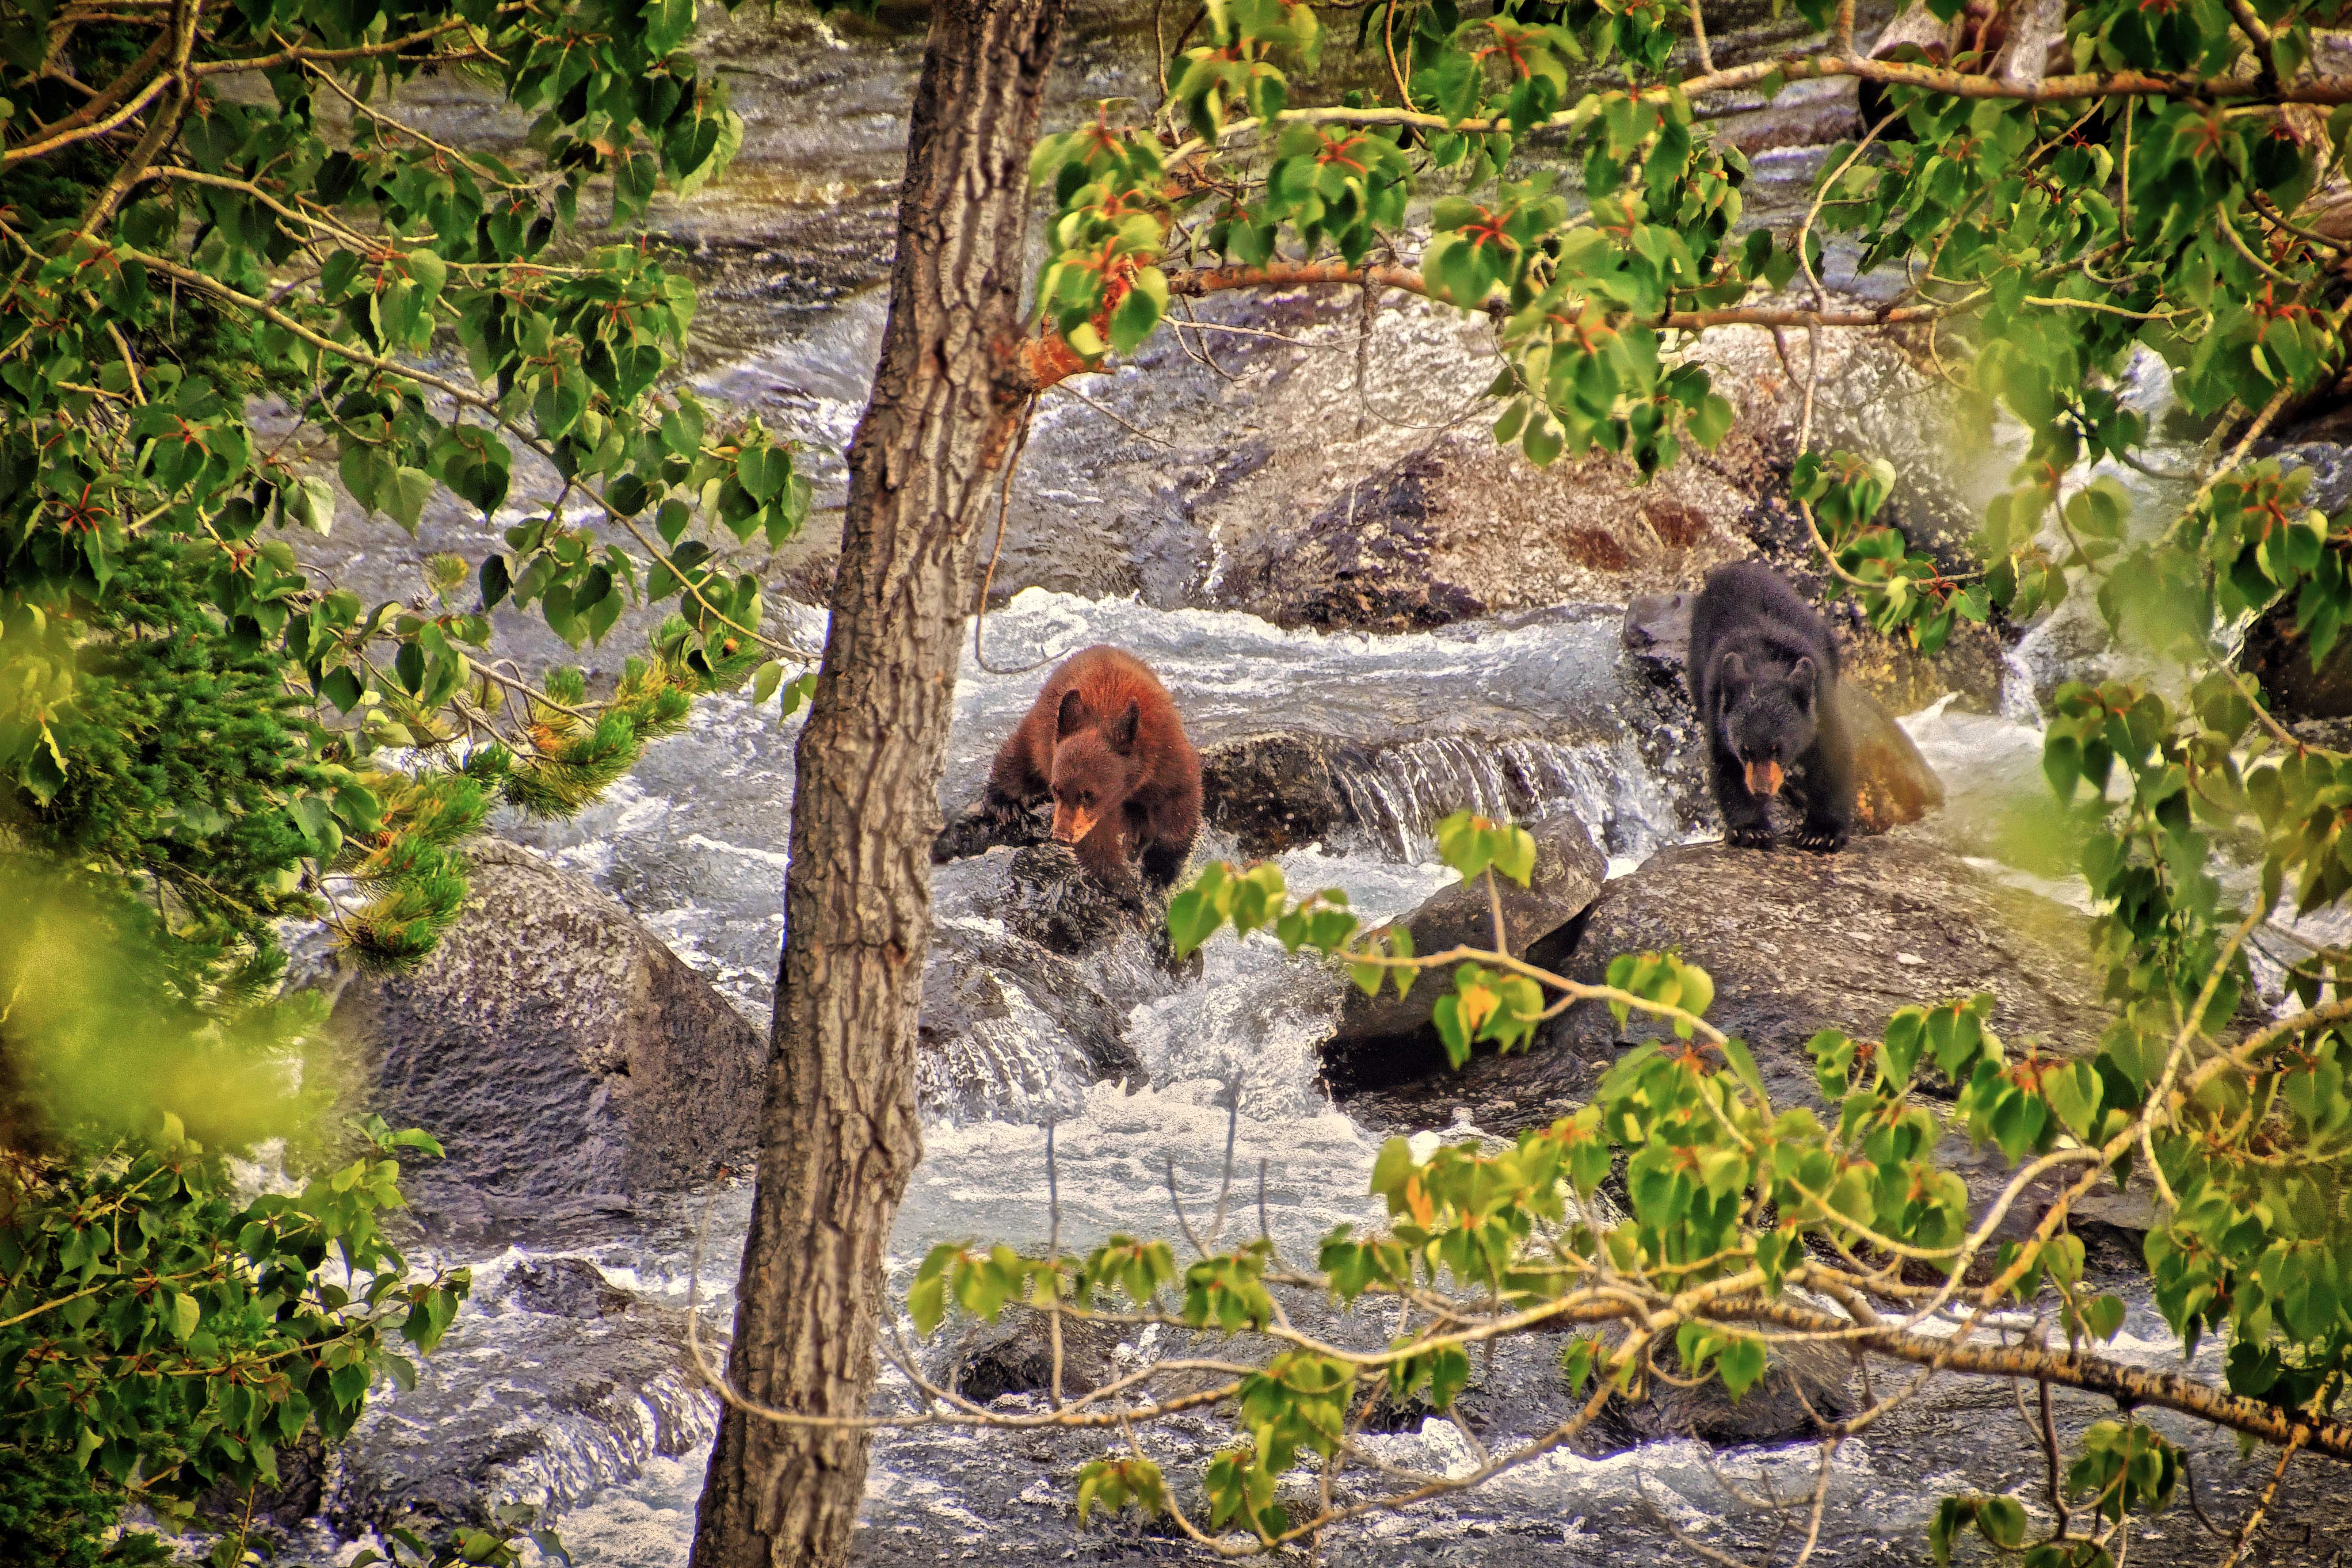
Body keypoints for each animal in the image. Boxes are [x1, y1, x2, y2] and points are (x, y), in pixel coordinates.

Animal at [973, 649, 1204, 893]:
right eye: (1056, 790)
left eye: (1090, 794)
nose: (1062, 836)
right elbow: (1095, 839)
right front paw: (1123, 885)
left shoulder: (1166, 753)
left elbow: (1179, 801)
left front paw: (1159, 870)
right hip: (1043, 731)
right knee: (1020, 756)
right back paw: (1004, 804)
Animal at [1693, 561, 1853, 860]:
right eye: (1745, 749)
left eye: (1779, 748)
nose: (1761, 790)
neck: (1765, 667)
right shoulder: (1718, 710)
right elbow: (1726, 768)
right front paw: (1752, 830)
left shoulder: (1820, 704)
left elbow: (1832, 760)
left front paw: (1821, 833)